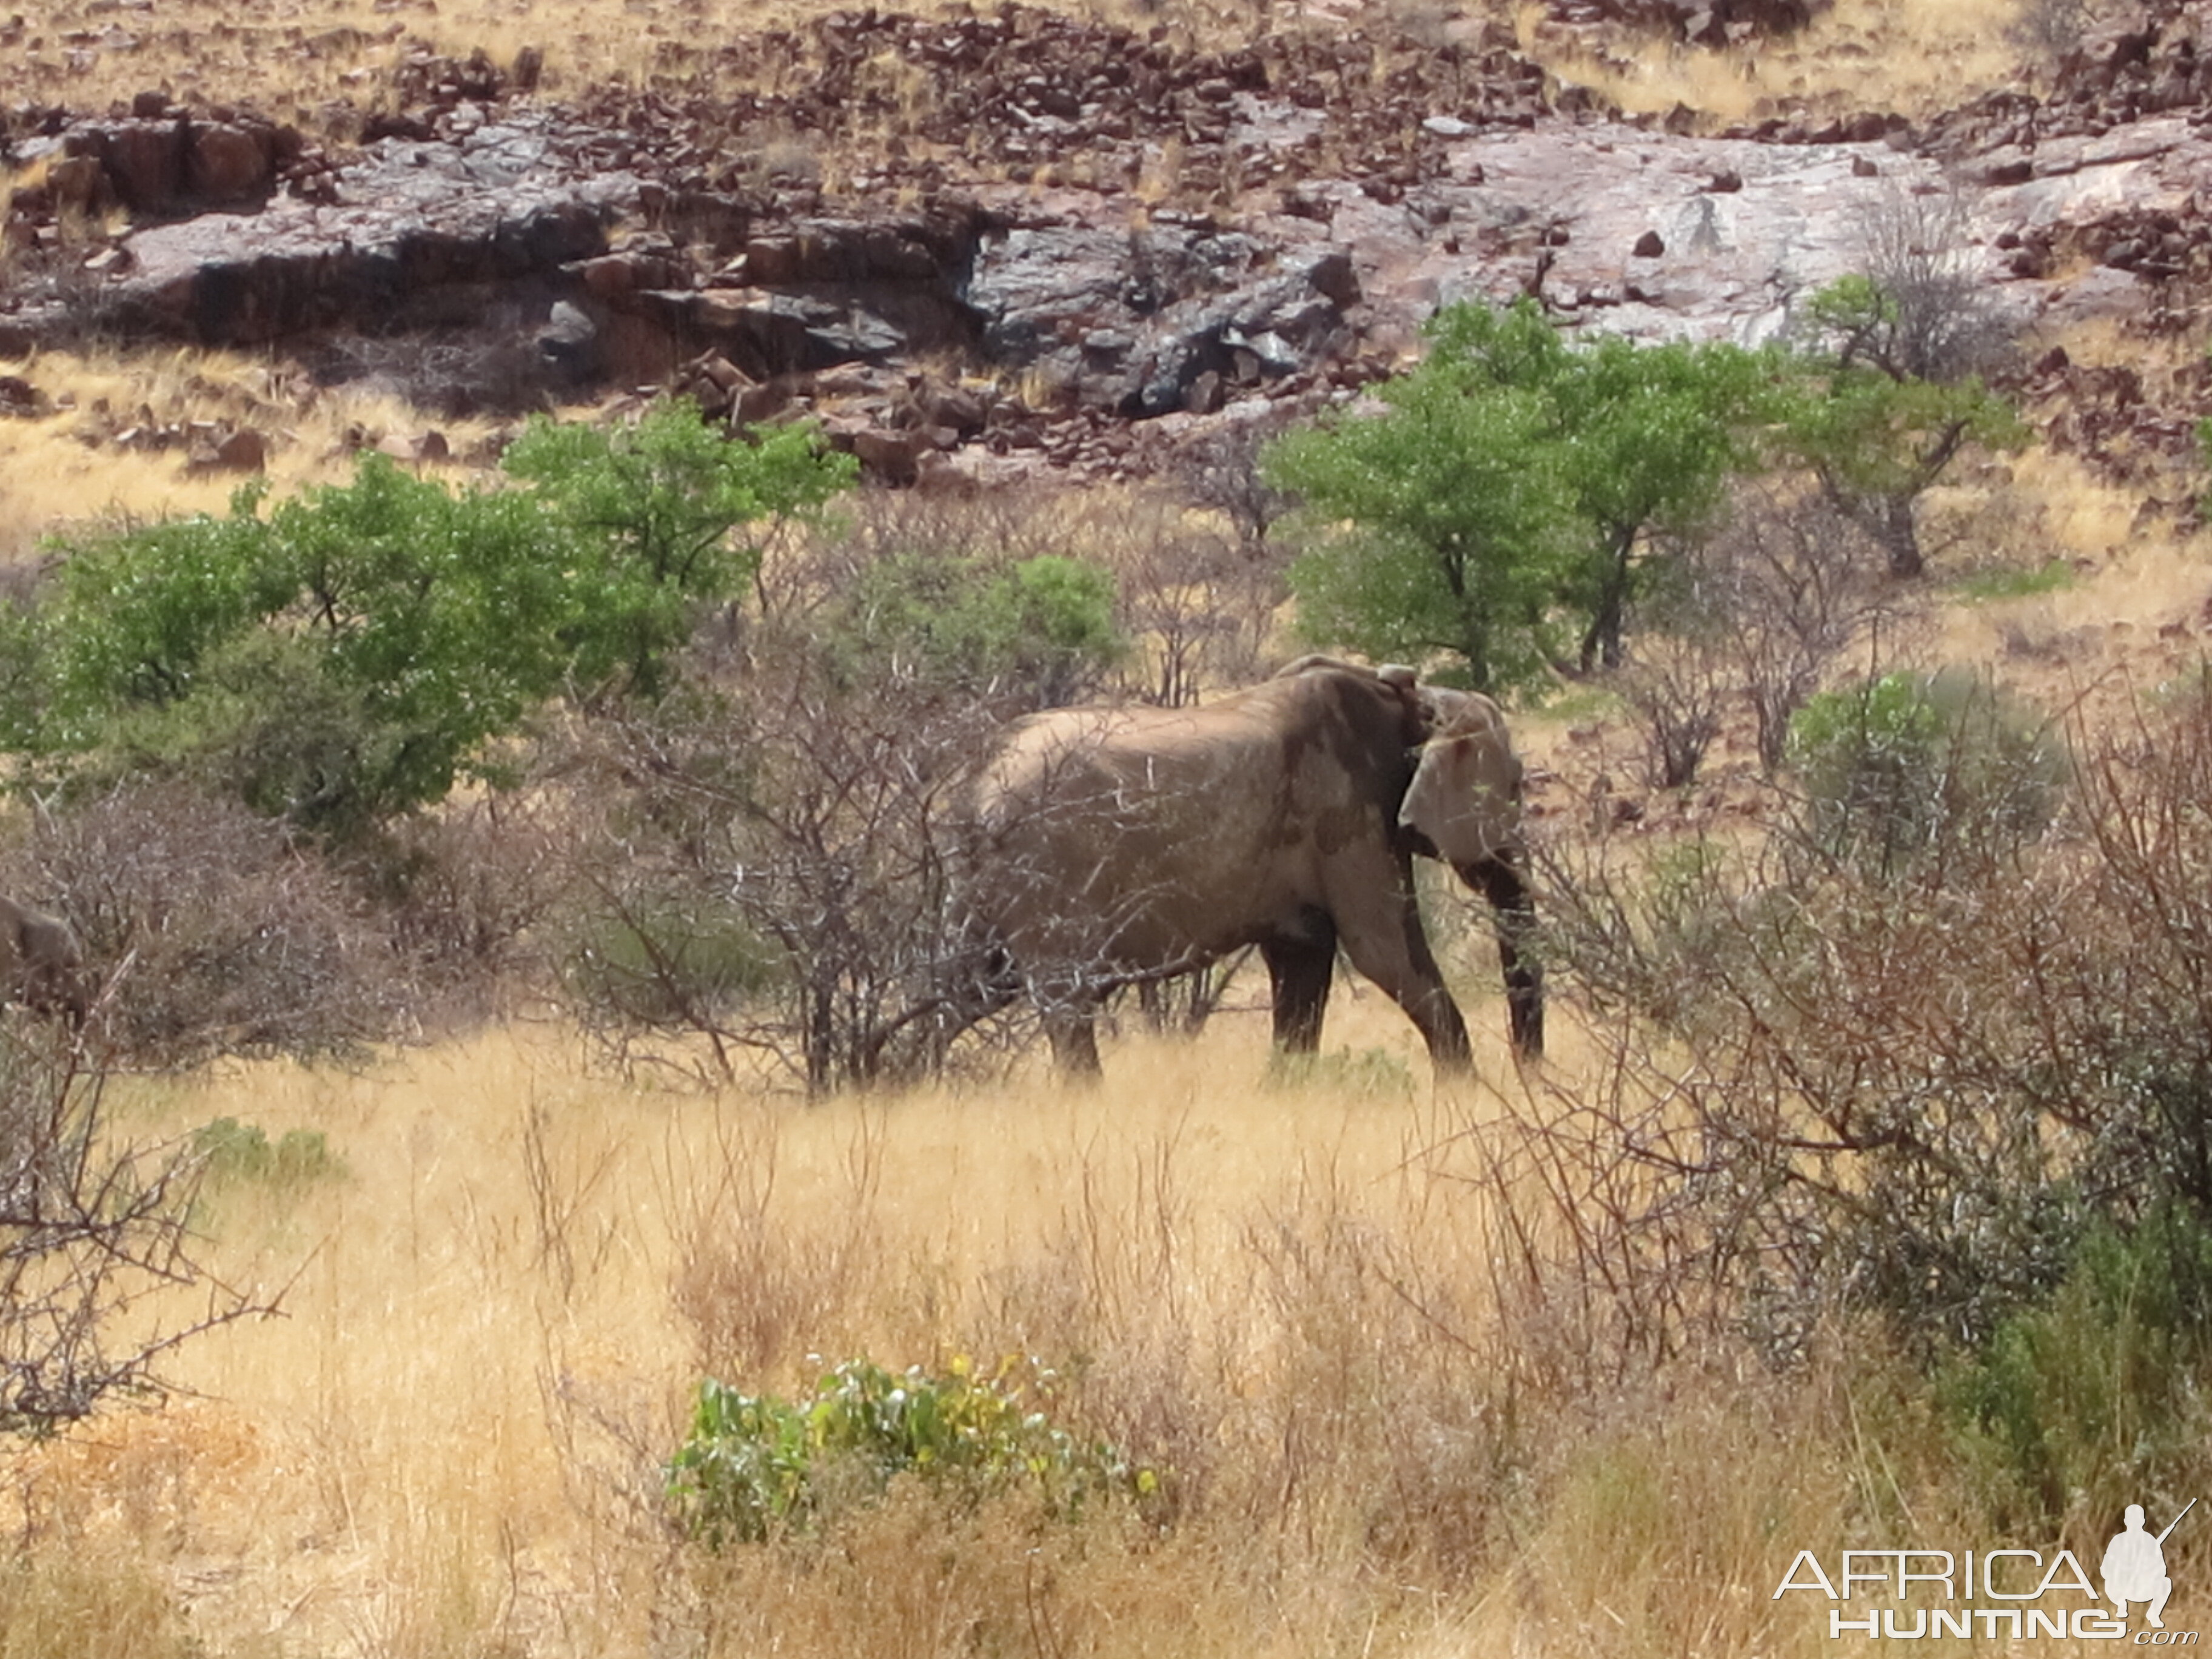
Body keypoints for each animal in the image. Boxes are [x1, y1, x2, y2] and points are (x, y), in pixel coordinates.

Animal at [942, 659, 1548, 1079]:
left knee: (969, 987)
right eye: (1516, 785)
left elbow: (1303, 962)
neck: (1410, 705)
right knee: (1061, 997)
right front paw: (1462, 1092)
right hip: (1045, 872)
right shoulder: (1348, 814)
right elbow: (1385, 954)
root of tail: (974, 783)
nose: (1529, 1073)